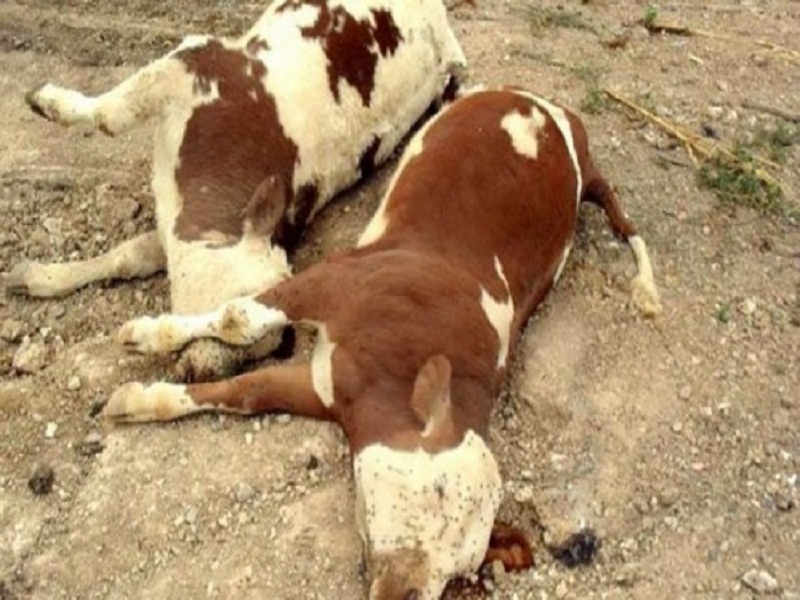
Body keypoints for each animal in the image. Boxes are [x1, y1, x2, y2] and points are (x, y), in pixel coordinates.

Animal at [6, 0, 466, 380]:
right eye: (230, 311)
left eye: (252, 350)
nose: (206, 371)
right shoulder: (191, 62)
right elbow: (109, 116)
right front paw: (46, 101)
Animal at [100, 86, 664, 596]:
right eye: (437, 491)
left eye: (462, 571)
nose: (408, 590)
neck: (406, 361)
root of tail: (568, 127)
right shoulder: (335, 281)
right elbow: (240, 317)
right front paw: (142, 339)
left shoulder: (327, 388)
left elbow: (247, 391)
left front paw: (135, 398)